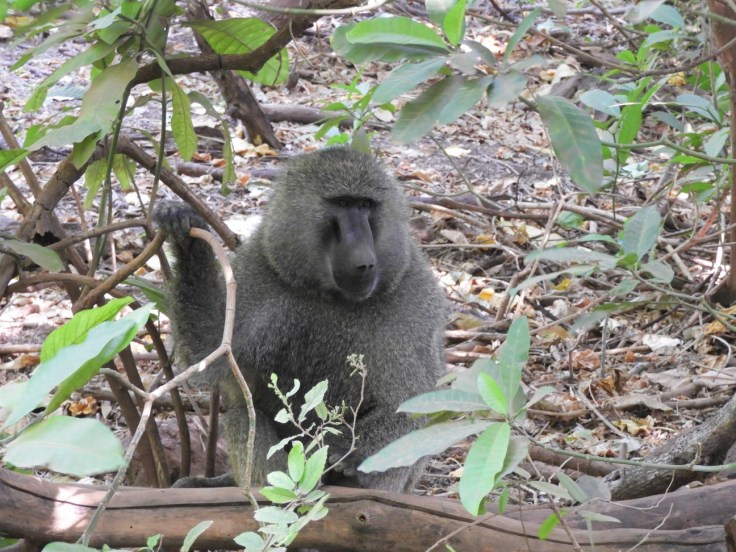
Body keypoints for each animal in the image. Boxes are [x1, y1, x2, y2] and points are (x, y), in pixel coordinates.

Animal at [154, 146, 449, 493]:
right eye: (341, 204)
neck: (332, 297)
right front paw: (184, 230)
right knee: (242, 417)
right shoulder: (260, 268)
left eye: (366, 205)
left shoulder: (412, 298)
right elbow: (209, 350)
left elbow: (412, 404)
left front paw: (345, 450)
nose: (364, 262)